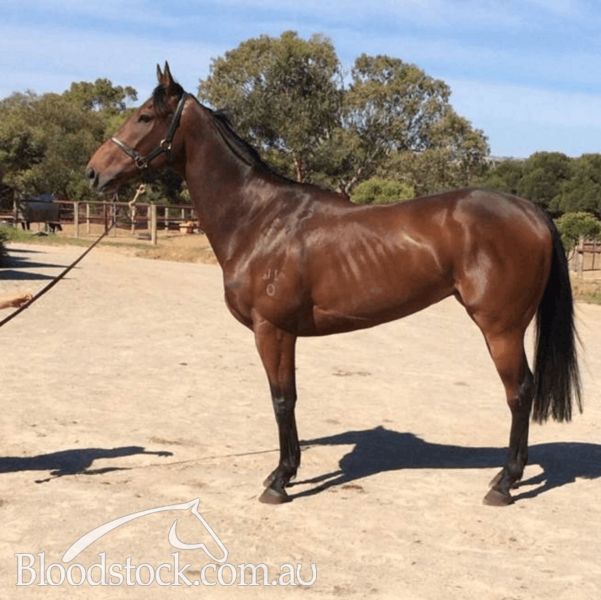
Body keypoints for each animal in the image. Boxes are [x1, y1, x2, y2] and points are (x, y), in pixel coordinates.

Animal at [86, 62, 581, 506]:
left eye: (143, 117)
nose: (94, 172)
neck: (260, 219)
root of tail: (533, 211)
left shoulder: (272, 330)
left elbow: (282, 399)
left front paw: (280, 480)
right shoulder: (284, 333)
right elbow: (288, 398)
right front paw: (286, 471)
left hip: (501, 329)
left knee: (519, 393)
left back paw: (504, 483)